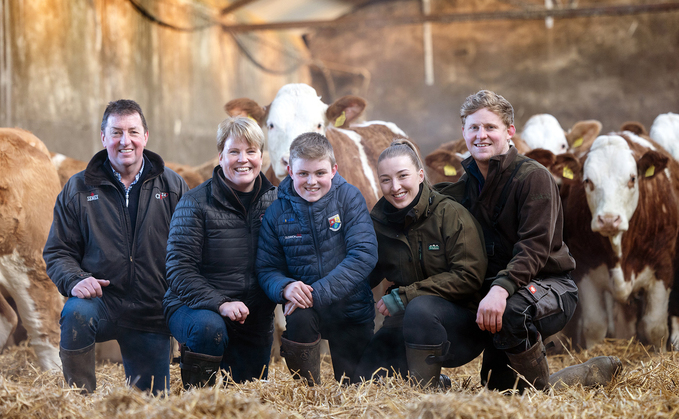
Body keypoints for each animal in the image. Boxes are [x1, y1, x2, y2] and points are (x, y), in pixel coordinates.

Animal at [564, 132, 679, 352]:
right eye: (587, 181)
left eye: (632, 179)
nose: (609, 219)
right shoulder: (583, 267)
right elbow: (594, 325)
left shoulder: (663, 267)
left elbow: (655, 327)